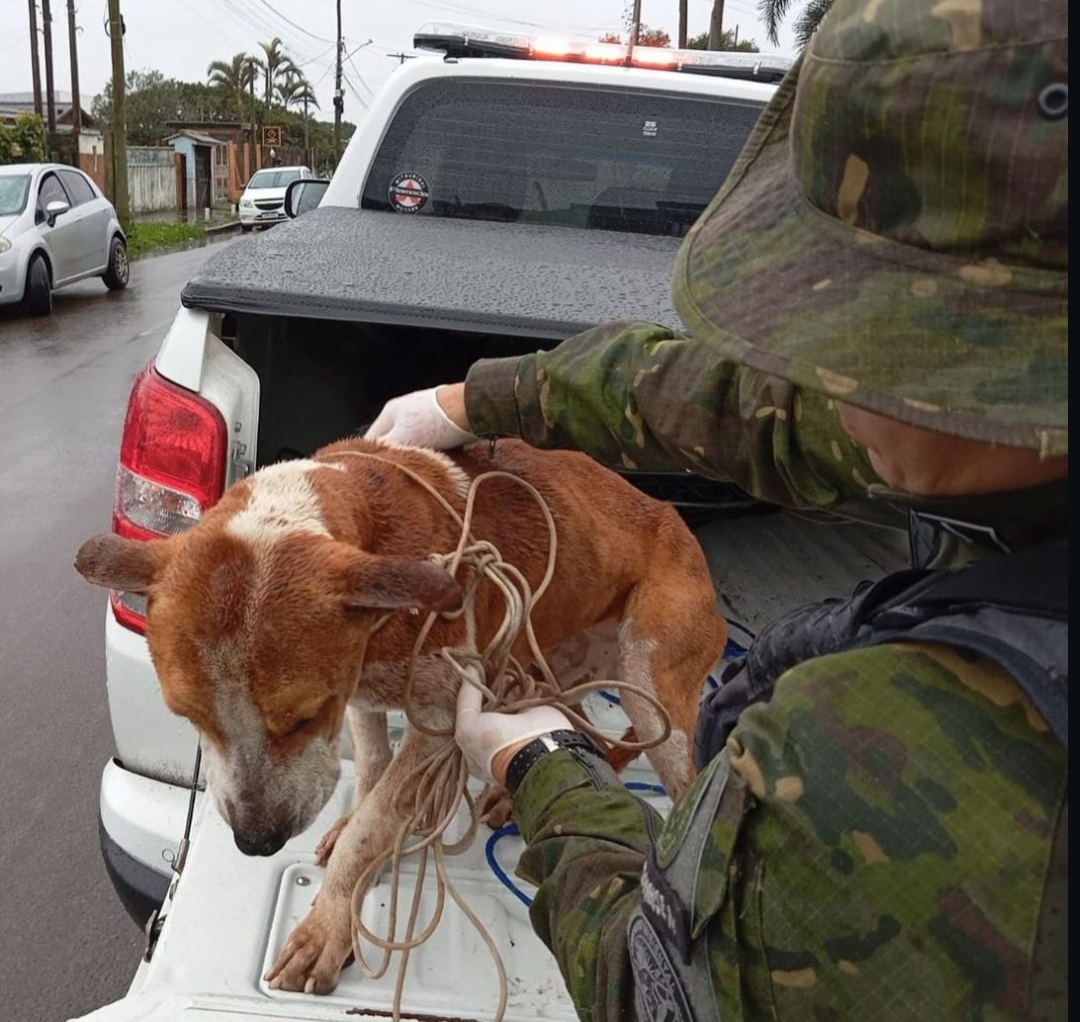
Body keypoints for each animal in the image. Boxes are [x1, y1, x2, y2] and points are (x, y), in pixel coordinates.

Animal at [73, 436, 725, 989]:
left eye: (303, 718)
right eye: (191, 719)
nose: (256, 844)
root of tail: (671, 516)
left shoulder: (436, 719)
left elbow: (377, 818)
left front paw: (330, 921)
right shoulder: (361, 695)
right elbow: (369, 775)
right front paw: (350, 833)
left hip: (653, 694)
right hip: (551, 664)